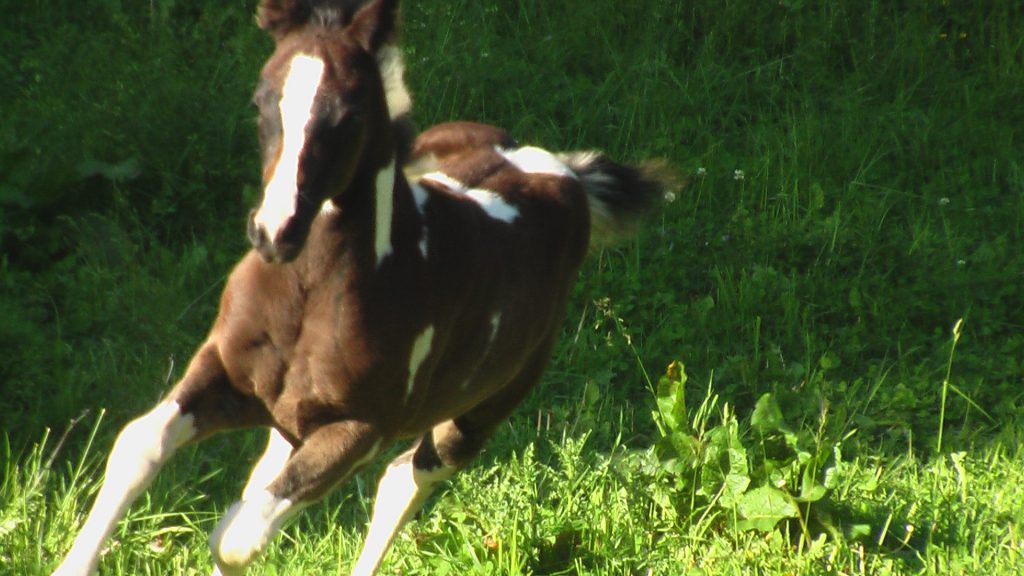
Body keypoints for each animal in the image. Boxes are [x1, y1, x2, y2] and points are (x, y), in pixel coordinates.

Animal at [52, 1, 670, 574]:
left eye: (348, 114)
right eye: (261, 101)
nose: (275, 231)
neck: (310, 296)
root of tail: (562, 170)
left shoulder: (360, 430)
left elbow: (237, 535)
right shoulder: (224, 369)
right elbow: (140, 444)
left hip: (479, 413)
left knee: (401, 481)